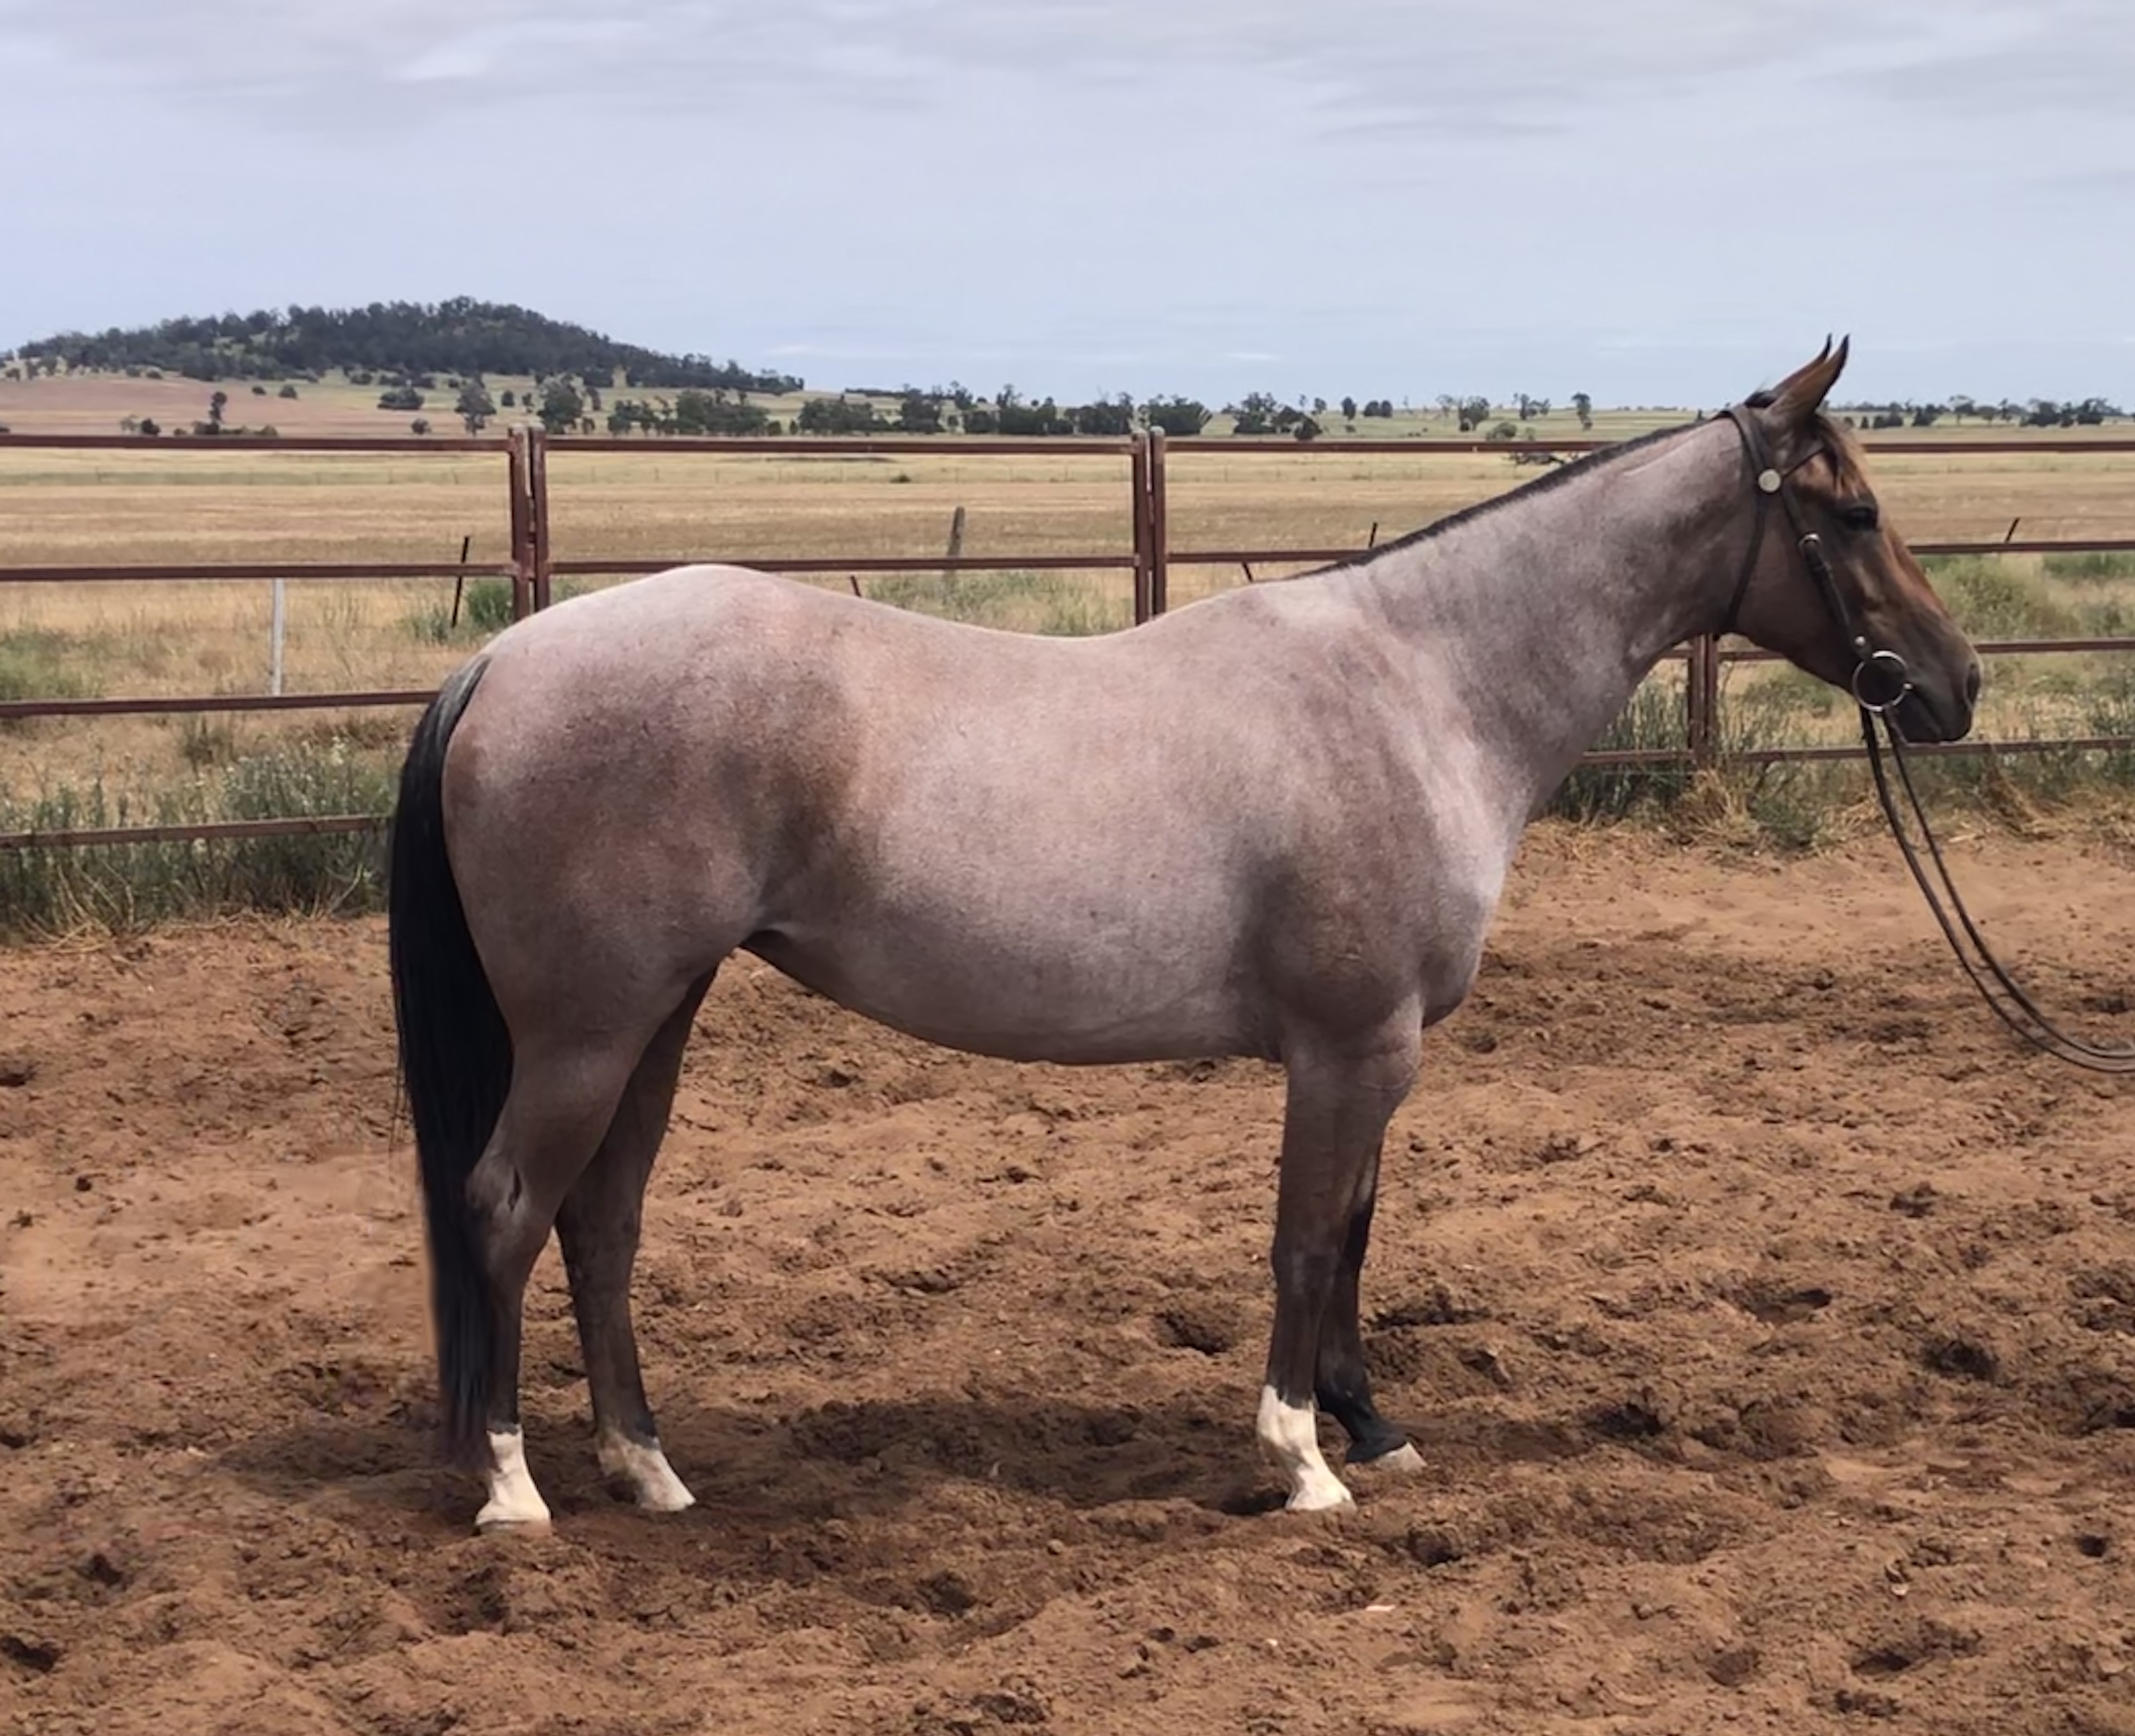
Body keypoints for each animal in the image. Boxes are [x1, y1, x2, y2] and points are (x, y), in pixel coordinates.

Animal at [387, 338, 1980, 1533]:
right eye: (1849, 513)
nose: (1953, 684)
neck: (1419, 688)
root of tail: (501, 658)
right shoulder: (1348, 1050)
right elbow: (1303, 1241)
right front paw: (1302, 1460)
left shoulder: (1377, 1055)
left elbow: (1354, 1234)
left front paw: (1371, 1426)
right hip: (589, 1030)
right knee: (507, 1208)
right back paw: (517, 1491)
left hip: (657, 1016)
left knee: (602, 1222)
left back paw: (647, 1467)